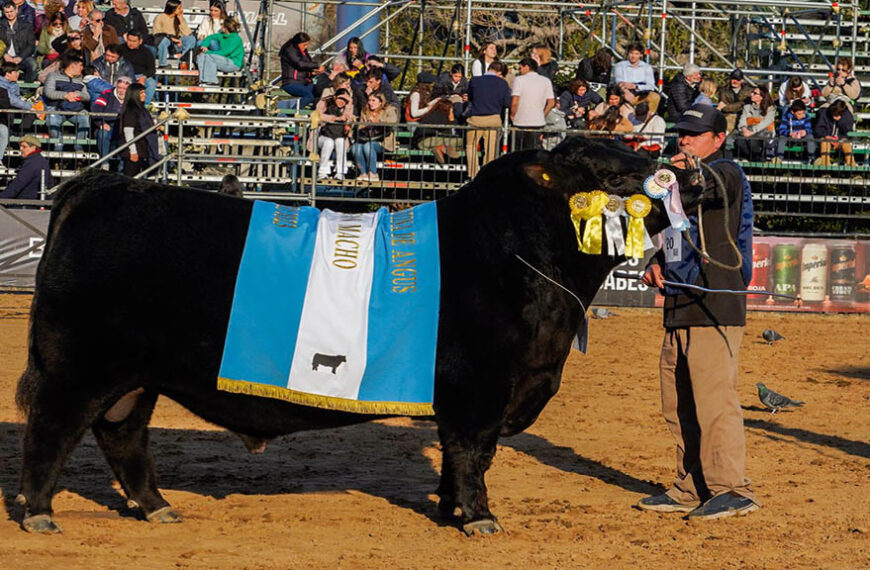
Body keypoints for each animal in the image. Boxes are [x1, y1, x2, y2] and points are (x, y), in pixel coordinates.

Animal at [11, 136, 696, 532]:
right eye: (611, 176)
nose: (677, 172)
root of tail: (103, 186)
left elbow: (454, 458)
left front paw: (447, 510)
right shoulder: (478, 392)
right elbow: (473, 456)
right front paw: (479, 518)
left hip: (135, 377)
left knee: (122, 434)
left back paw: (157, 508)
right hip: (78, 367)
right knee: (53, 431)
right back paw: (40, 513)